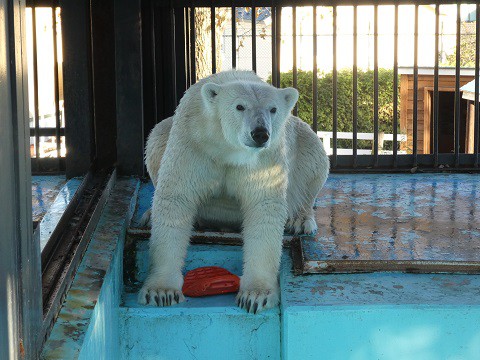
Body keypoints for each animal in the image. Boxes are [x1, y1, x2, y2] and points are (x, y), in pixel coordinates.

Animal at [137, 69, 328, 312]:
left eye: (273, 109)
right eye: (240, 106)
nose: (260, 133)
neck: (227, 147)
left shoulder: (264, 158)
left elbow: (264, 206)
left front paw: (256, 295)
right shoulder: (193, 141)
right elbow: (176, 198)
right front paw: (161, 291)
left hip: (299, 145)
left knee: (313, 155)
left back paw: (299, 220)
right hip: (165, 133)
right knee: (156, 137)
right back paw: (150, 216)